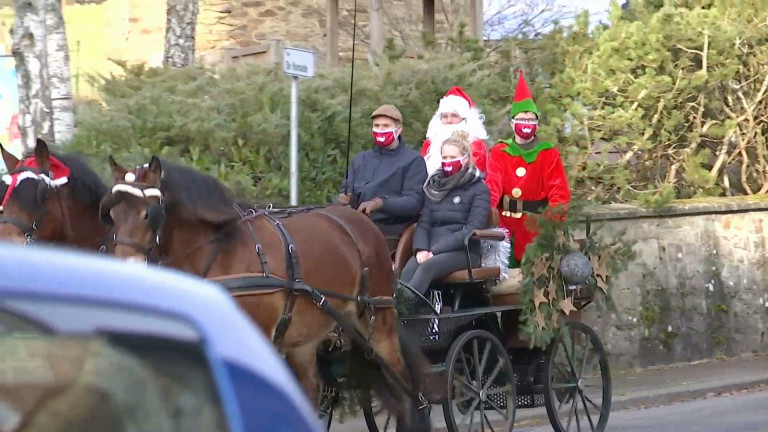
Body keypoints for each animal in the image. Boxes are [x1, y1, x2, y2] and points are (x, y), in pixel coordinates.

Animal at [98, 155, 428, 428]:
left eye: (149, 214)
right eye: (111, 213)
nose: (125, 266)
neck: (220, 252)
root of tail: (360, 219)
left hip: (377, 320)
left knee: (405, 390)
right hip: (304, 338)